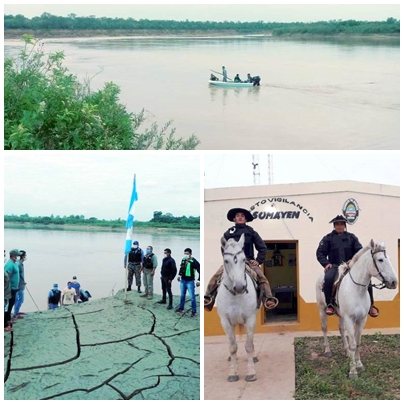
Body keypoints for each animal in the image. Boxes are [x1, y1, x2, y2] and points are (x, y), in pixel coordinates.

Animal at [218, 234, 258, 382]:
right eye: (226, 260)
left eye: (244, 259)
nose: (240, 287)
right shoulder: (225, 322)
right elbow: (233, 347)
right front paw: (233, 372)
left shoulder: (250, 319)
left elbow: (248, 346)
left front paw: (251, 372)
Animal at [316, 241, 398, 380]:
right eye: (380, 260)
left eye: (390, 259)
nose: (394, 282)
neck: (357, 290)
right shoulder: (349, 319)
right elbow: (353, 343)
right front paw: (353, 371)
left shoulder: (361, 319)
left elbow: (357, 342)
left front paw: (358, 364)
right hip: (322, 309)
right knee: (324, 328)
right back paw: (327, 350)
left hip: (341, 315)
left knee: (341, 329)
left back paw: (347, 352)